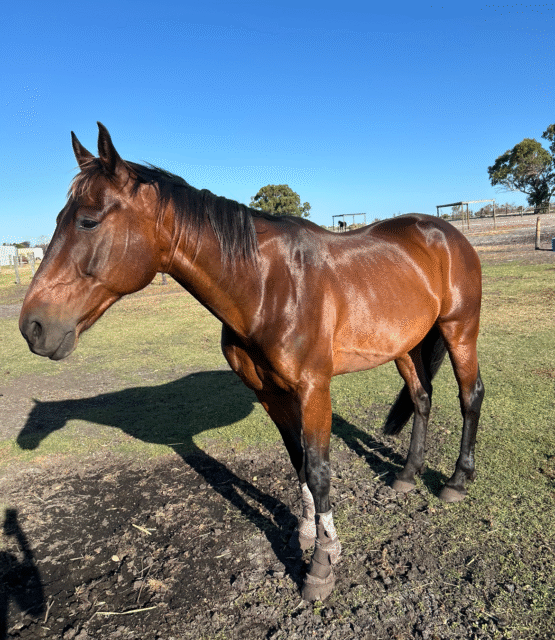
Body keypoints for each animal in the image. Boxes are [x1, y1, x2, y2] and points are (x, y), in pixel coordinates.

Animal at [20, 123, 484, 602]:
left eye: (88, 221)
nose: (32, 326)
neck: (267, 285)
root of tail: (444, 232)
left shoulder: (314, 389)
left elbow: (319, 471)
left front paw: (322, 564)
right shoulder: (269, 393)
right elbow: (298, 461)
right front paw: (305, 535)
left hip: (459, 330)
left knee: (470, 396)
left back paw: (456, 482)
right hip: (406, 345)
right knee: (422, 397)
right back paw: (408, 474)